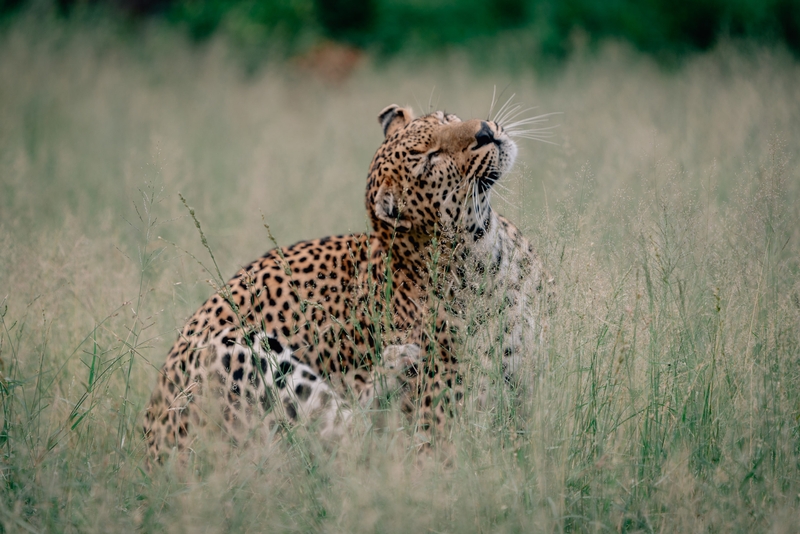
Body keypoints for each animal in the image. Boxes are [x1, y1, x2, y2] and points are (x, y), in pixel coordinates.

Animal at [144, 102, 552, 466]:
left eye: (447, 118)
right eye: (430, 158)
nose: (484, 131)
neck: (486, 249)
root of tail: (150, 455)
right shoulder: (442, 417)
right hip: (235, 348)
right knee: (356, 440)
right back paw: (397, 363)